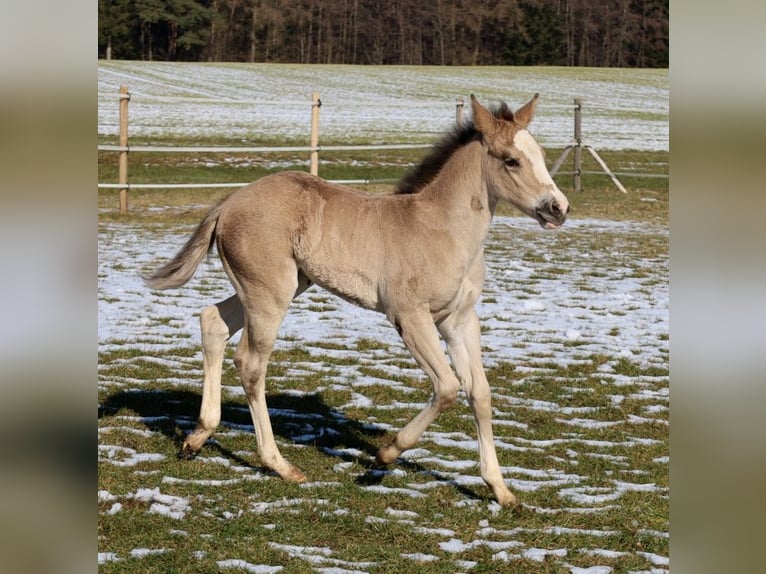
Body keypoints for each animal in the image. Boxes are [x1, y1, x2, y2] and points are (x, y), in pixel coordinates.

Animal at [145, 94, 569, 507]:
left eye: (541, 154)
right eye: (511, 160)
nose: (559, 208)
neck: (442, 228)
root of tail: (229, 202)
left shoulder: (459, 320)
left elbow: (479, 394)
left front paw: (500, 490)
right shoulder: (409, 316)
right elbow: (448, 387)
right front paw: (384, 455)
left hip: (277, 287)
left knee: (213, 322)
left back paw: (196, 438)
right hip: (270, 293)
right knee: (250, 363)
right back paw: (280, 465)